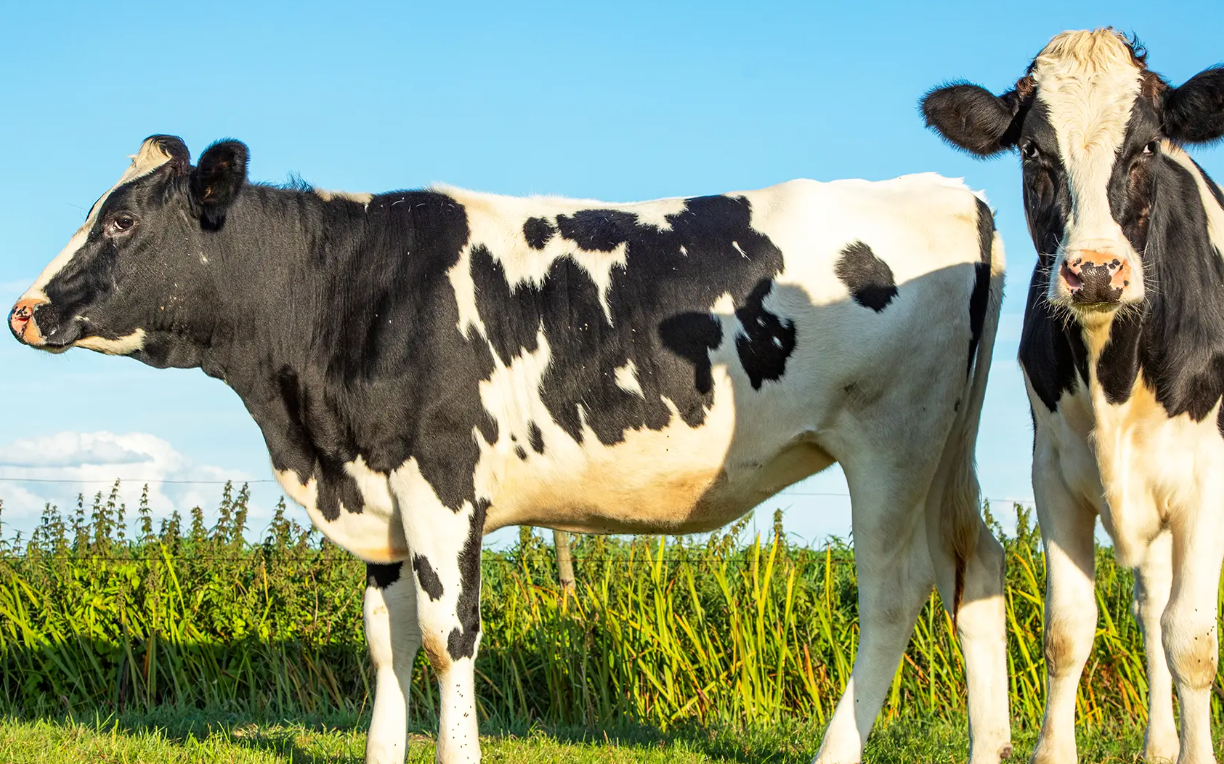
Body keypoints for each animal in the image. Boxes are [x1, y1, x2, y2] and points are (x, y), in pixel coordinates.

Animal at [9, 138, 1008, 763]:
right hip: (944, 451)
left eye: (122, 222)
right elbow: (387, 642)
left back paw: (835, 752)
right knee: (974, 570)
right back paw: (992, 747)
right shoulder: (380, 491)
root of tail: (946, 189)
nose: (24, 309)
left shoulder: (442, 482)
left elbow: (448, 639)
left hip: (890, 441)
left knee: (893, 596)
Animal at [920, 26, 1224, 763]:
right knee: (1149, 604)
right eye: (1034, 150)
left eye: (1145, 147)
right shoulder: (1053, 473)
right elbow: (1068, 630)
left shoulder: (1207, 478)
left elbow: (1193, 641)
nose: (1094, 272)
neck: (1114, 367)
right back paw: (1158, 745)